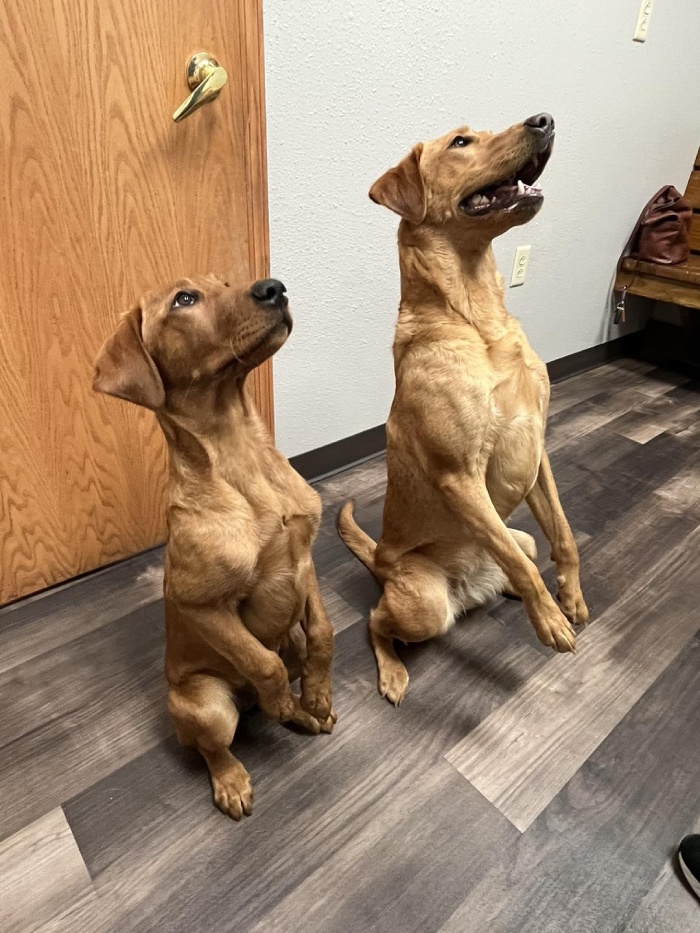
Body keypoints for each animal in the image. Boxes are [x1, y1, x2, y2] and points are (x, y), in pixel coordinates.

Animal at [92, 274, 336, 816]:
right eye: (184, 299)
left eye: (225, 282)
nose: (274, 287)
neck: (241, 454)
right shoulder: (202, 606)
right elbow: (262, 663)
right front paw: (286, 699)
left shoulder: (305, 558)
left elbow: (323, 634)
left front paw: (316, 696)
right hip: (206, 705)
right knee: (214, 746)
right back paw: (232, 779)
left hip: (284, 641)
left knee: (284, 666)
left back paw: (303, 716)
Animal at [338, 114, 584, 708]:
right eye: (460, 142)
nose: (545, 119)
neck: (477, 316)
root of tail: (380, 561)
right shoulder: (459, 476)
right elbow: (525, 568)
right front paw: (550, 619)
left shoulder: (535, 451)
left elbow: (563, 537)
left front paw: (569, 599)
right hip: (421, 603)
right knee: (376, 623)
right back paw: (392, 673)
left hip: (518, 533)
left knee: (518, 555)